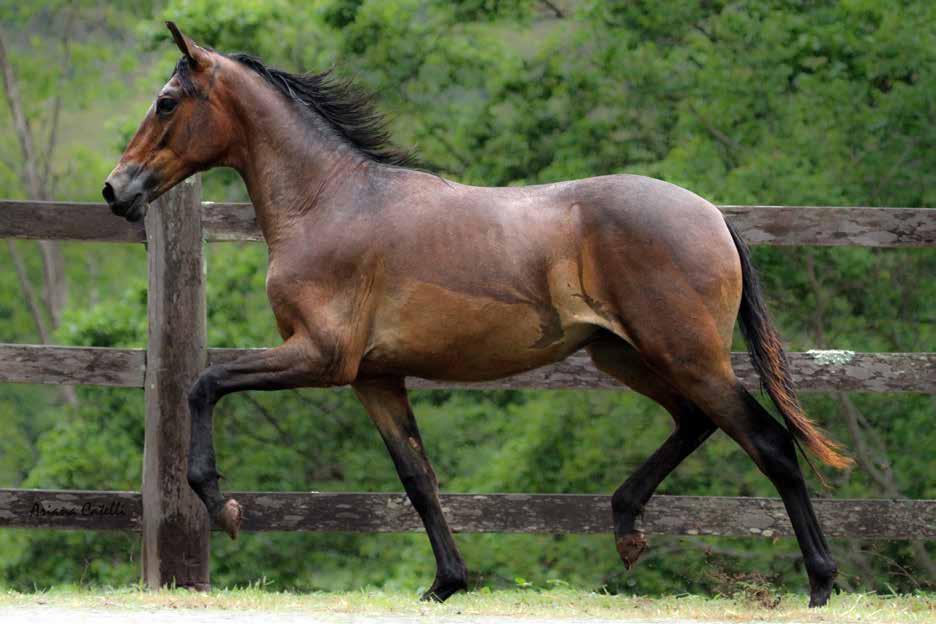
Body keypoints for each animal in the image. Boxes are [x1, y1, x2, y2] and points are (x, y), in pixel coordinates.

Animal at [106, 22, 852, 608]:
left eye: (166, 102)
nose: (117, 189)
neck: (329, 203)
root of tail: (713, 214)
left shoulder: (321, 356)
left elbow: (203, 384)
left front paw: (223, 505)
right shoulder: (374, 377)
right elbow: (418, 478)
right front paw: (447, 582)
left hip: (685, 354)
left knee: (769, 441)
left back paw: (820, 582)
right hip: (626, 354)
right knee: (697, 423)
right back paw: (627, 527)